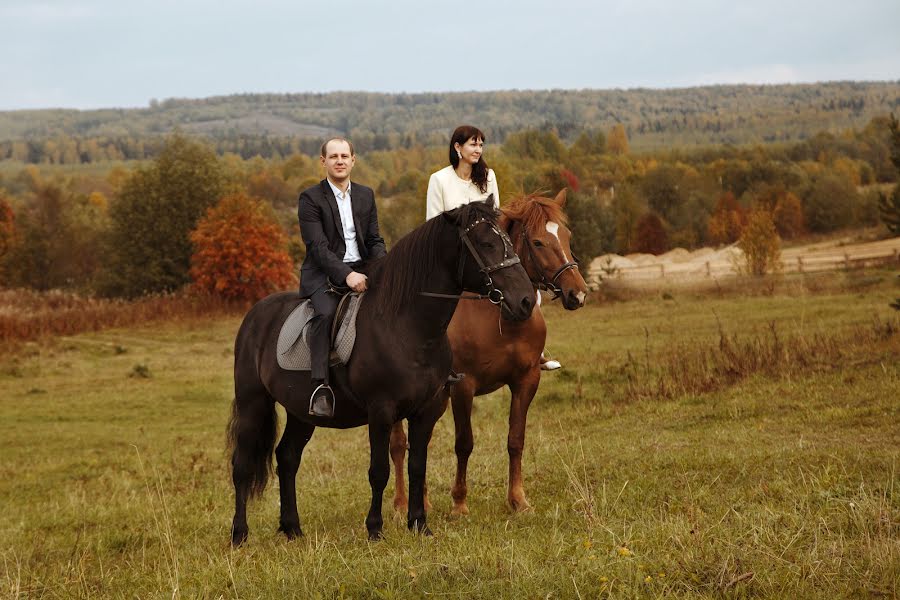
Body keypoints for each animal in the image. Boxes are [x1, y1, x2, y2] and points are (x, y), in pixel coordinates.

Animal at [229, 198, 536, 544]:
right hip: (252, 402)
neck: (408, 326)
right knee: (242, 465)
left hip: (301, 412)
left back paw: (292, 528)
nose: (525, 301)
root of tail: (256, 313)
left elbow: (417, 467)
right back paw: (239, 534)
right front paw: (375, 529)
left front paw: (419, 524)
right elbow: (379, 471)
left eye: (508, 240)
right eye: (486, 244)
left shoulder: (426, 411)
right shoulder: (381, 410)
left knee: (287, 458)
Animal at [388, 191, 588, 516]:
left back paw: (423, 500)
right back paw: (402, 503)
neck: (503, 318)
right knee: (398, 443)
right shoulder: (464, 387)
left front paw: (518, 500)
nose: (578, 294)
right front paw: (459, 503)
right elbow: (464, 443)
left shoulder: (526, 380)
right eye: (537, 242)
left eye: (566, 236)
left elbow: (516, 439)